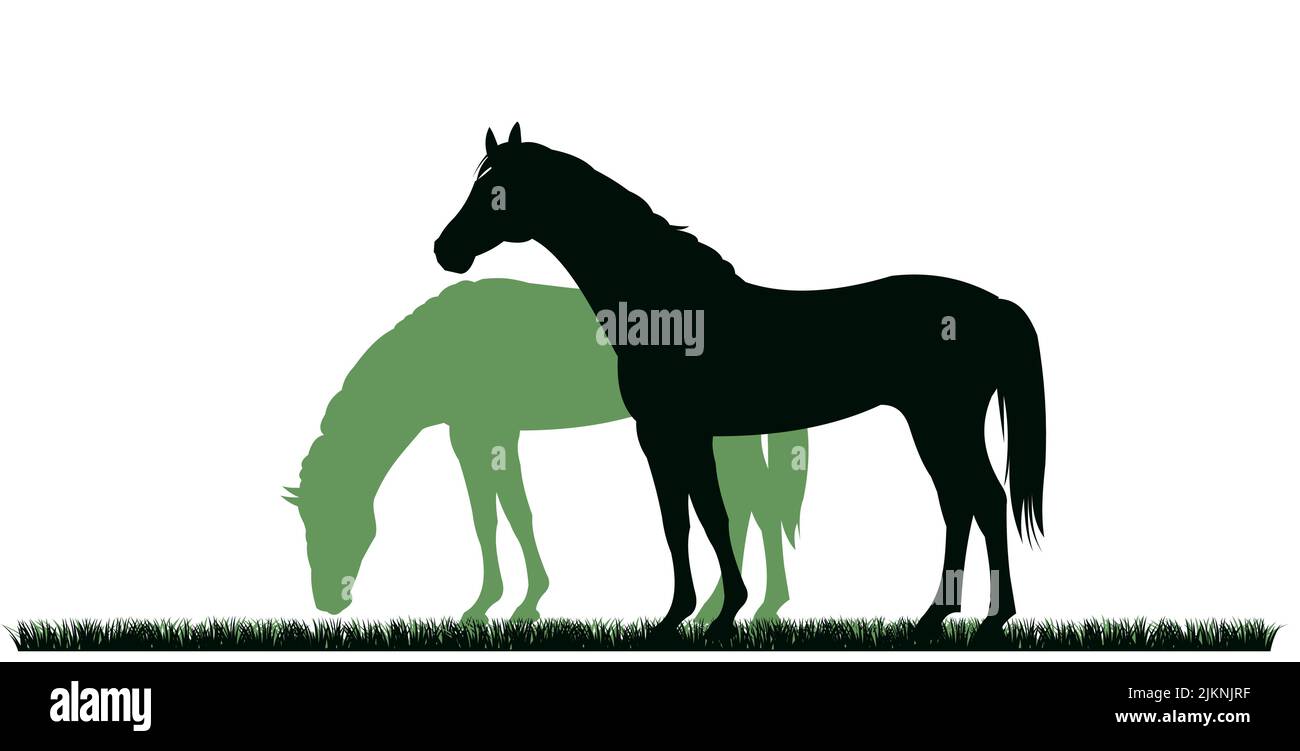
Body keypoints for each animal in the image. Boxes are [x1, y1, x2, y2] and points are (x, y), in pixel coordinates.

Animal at [283, 277, 809, 622]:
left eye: (332, 521)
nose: (327, 601)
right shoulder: (477, 436)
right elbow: (493, 514)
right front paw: (496, 603)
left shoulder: (489, 433)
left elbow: (510, 512)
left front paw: (516, 603)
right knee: (746, 506)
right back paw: (726, 610)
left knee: (756, 506)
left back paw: (759, 607)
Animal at [434, 124, 1046, 642]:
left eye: (496, 191)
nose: (445, 250)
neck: (669, 304)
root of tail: (992, 305)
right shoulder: (674, 436)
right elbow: (692, 518)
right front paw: (696, 617)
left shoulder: (674, 432)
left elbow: (696, 517)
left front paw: (702, 618)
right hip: (937, 426)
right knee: (960, 505)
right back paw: (933, 619)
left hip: (942, 423)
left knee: (983, 501)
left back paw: (992, 622)